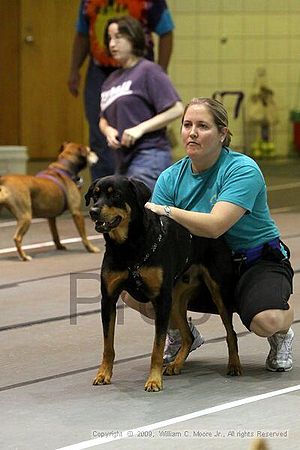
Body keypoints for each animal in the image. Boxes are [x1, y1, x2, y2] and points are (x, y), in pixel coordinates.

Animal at [85, 174, 241, 392]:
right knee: (188, 336)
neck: (129, 247)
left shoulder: (160, 299)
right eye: (95, 195)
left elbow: (156, 347)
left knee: (230, 331)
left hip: (218, 292)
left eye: (115, 195)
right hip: (175, 298)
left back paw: (234, 365)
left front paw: (154, 380)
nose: (93, 211)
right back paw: (176, 365)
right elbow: (108, 345)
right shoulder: (108, 299)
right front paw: (103, 374)